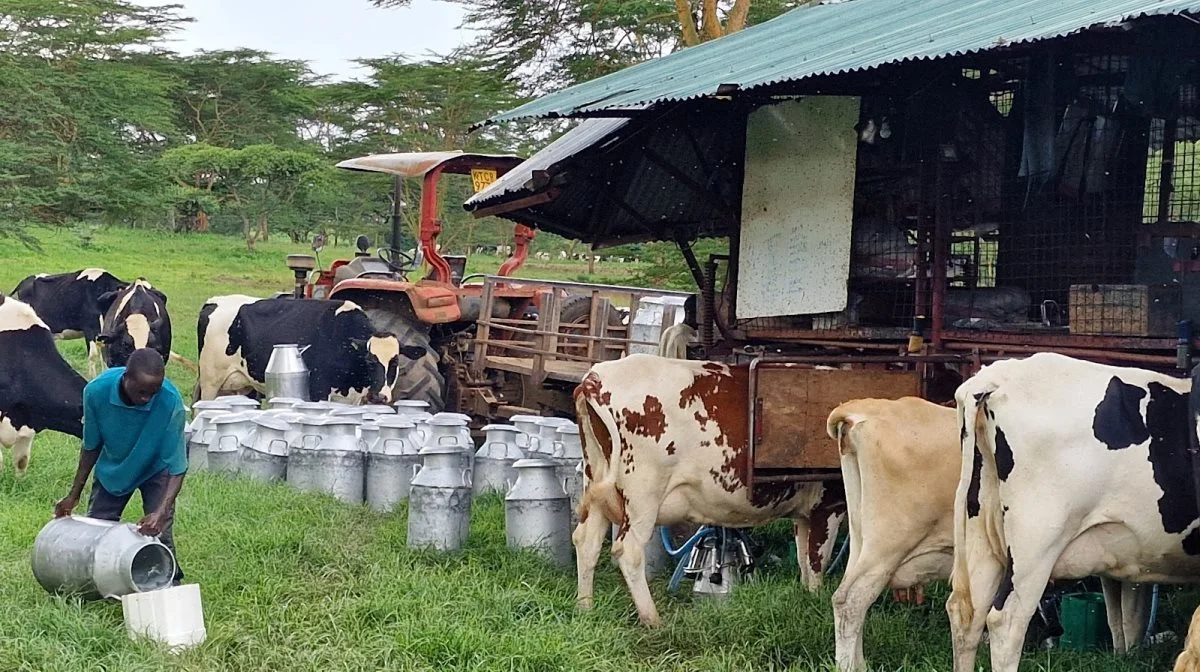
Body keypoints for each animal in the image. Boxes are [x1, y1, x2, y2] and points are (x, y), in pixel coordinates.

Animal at [194, 295, 424, 403]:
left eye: (396, 362)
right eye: (369, 359)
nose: (380, 397)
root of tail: (214, 301)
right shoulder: (318, 390)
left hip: (239, 384)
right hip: (210, 381)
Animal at [571, 355, 844, 628]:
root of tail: (596, 376)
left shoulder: (804, 512)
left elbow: (803, 559)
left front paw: (805, 596)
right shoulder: (830, 504)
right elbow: (817, 560)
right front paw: (816, 601)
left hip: (596, 480)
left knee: (586, 541)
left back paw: (585, 609)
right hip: (643, 493)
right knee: (628, 550)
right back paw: (653, 621)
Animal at [940, 352, 1195, 672]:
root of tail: (996, 375)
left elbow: (1125, 616)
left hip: (981, 532)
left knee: (966, 615)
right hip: (1036, 542)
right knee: (1006, 621)